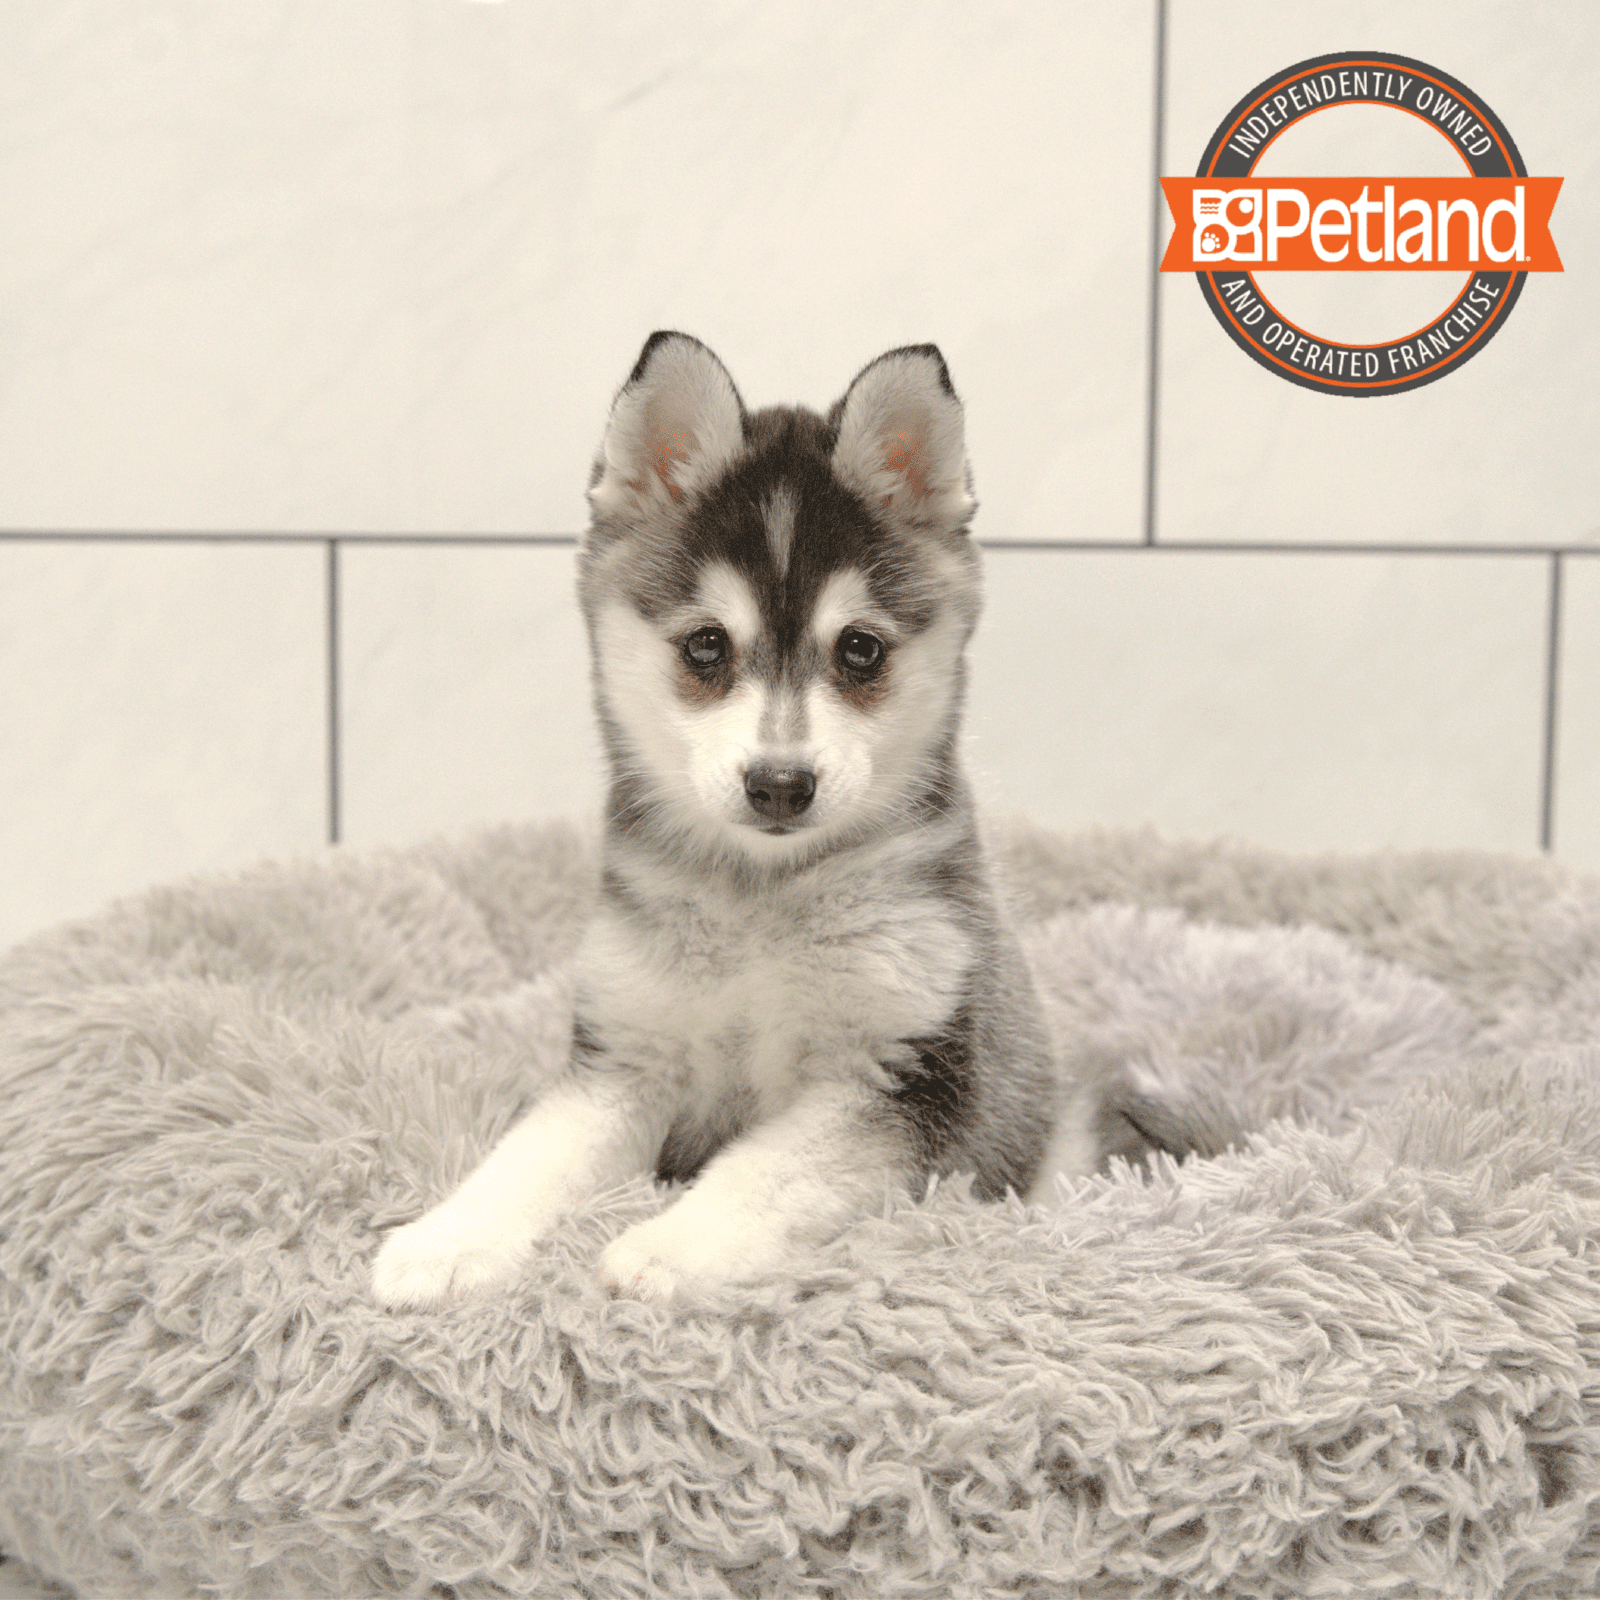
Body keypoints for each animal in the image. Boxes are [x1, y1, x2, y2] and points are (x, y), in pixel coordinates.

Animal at [371, 332, 1082, 1309]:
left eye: (860, 649)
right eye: (706, 645)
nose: (780, 784)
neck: (762, 899)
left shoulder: (903, 1074)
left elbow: (767, 1169)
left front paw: (666, 1247)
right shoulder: (625, 1058)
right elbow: (529, 1156)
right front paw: (446, 1241)